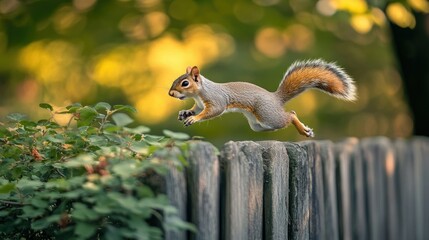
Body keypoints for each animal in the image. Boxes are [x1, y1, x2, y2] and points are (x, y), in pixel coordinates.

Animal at [167, 59, 354, 138]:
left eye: (185, 83)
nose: (170, 94)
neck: (200, 92)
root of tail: (275, 98)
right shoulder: (199, 104)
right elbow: (196, 109)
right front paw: (185, 113)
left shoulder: (216, 99)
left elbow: (213, 111)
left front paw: (193, 119)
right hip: (259, 125)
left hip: (268, 115)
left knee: (291, 115)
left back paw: (302, 130)